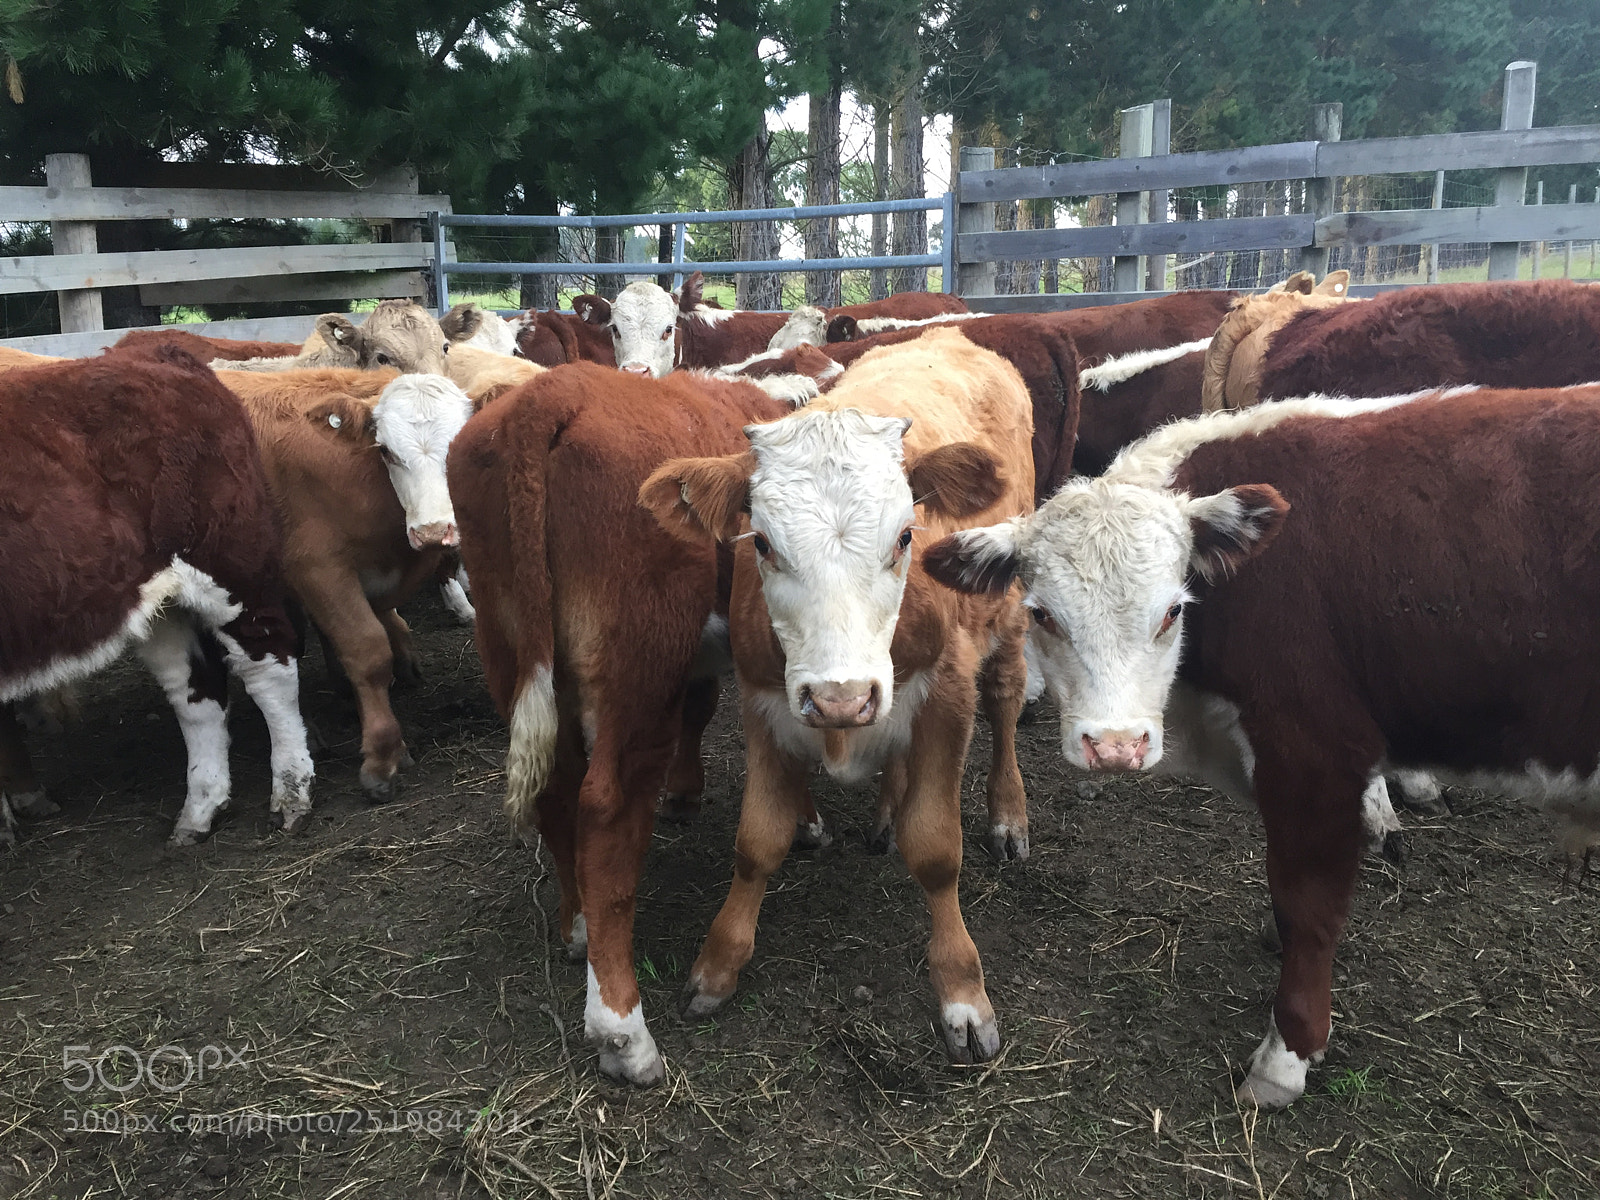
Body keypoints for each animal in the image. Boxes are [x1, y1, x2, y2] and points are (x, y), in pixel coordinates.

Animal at [0, 349, 314, 846]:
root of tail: (159, 355)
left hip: (232, 572)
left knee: (269, 669)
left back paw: (290, 792)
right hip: (159, 602)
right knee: (196, 693)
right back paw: (201, 807)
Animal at [448, 363, 791, 1085]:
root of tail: (555, 392)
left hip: (509, 644)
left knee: (556, 790)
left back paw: (576, 926)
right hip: (640, 666)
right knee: (606, 811)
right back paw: (623, 1031)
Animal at [642, 328, 1036, 1068]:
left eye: (906, 536)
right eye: (763, 543)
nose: (841, 701)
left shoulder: (947, 695)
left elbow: (936, 850)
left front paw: (962, 992)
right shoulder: (766, 700)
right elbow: (756, 841)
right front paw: (719, 963)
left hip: (1005, 610)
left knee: (1006, 699)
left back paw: (1007, 815)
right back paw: (883, 812)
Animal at [922, 384, 1600, 1107]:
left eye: (1173, 610)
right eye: (1042, 613)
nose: (1116, 745)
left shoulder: (1315, 755)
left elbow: (1310, 905)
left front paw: (1287, 1055)